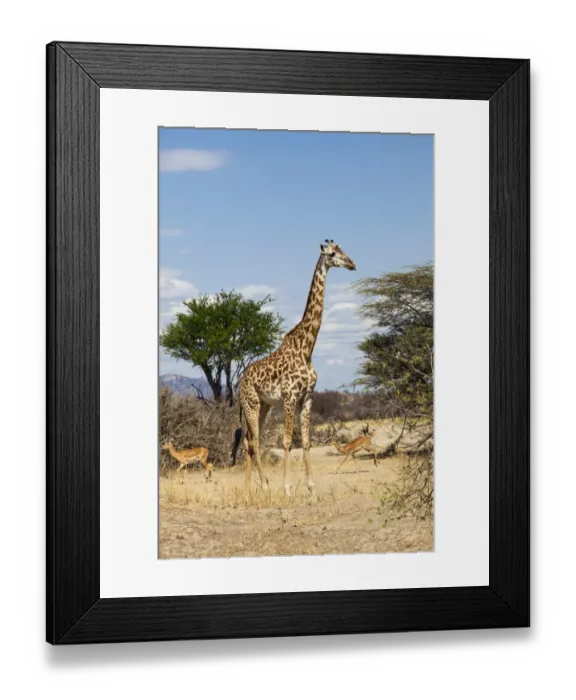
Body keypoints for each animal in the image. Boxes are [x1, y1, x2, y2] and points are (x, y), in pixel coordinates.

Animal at [233, 240, 356, 495]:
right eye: (332, 254)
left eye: (343, 249)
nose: (352, 264)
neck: (306, 348)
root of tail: (240, 380)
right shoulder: (289, 396)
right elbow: (288, 441)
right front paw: (287, 488)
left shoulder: (307, 396)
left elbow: (306, 441)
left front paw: (311, 488)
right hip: (251, 403)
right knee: (255, 440)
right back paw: (265, 484)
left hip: (264, 406)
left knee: (250, 441)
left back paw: (249, 488)